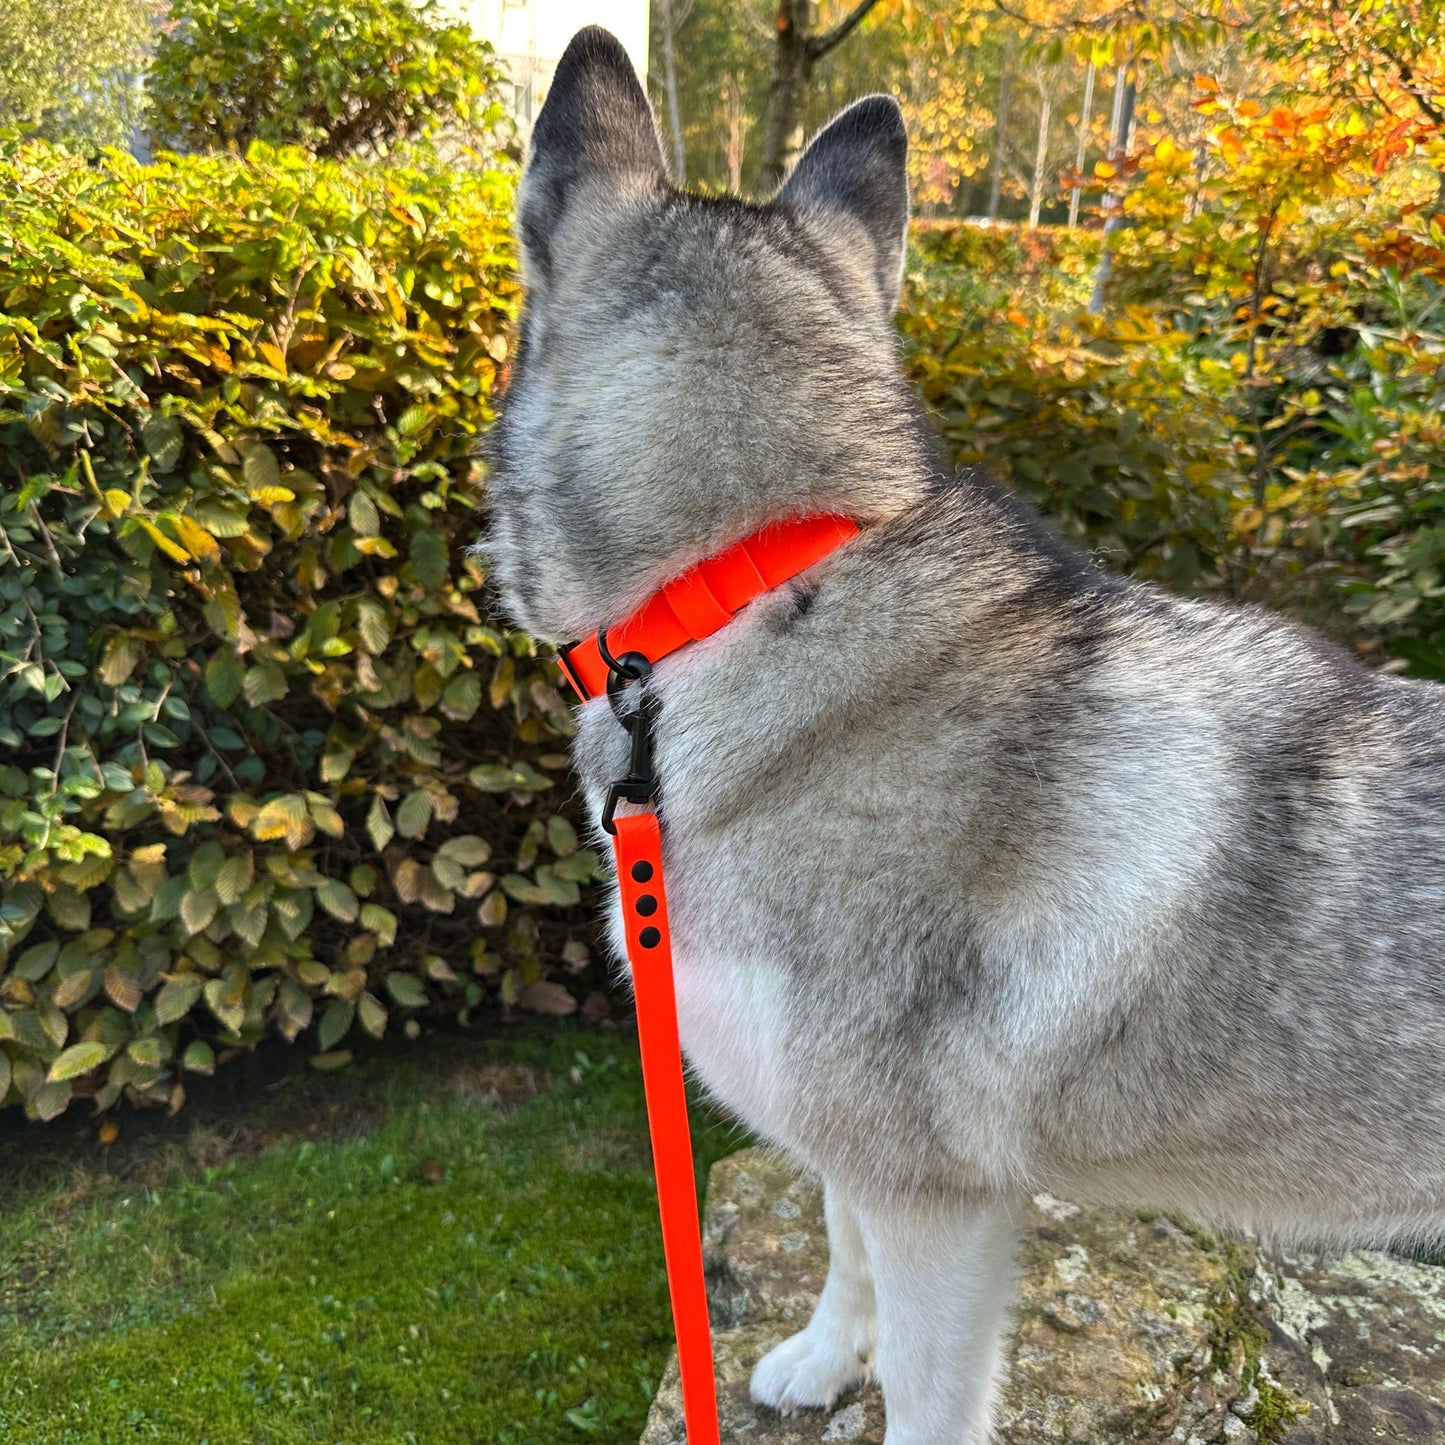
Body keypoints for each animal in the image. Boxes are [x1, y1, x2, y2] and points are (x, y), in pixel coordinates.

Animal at [482, 25, 1445, 1445]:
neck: (745, 584)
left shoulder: (937, 1199)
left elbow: (926, 1385)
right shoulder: (850, 1144)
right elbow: (836, 1239)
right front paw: (824, 1355)